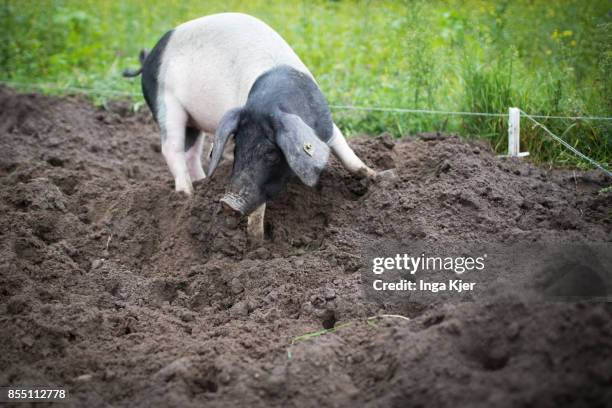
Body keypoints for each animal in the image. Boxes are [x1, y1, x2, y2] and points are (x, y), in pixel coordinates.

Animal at [122, 12, 376, 241]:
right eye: (237, 149)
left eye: (272, 153)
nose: (227, 203)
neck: (272, 101)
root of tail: (148, 58)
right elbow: (258, 206)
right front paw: (257, 242)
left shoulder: (327, 126)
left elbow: (347, 153)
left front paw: (376, 177)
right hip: (166, 104)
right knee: (171, 149)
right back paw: (186, 194)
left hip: (193, 121)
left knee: (191, 152)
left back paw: (201, 183)